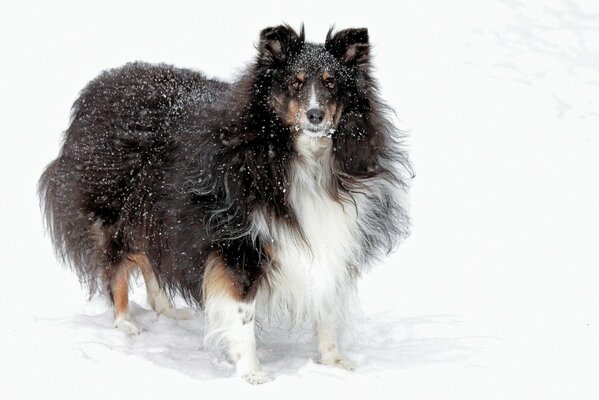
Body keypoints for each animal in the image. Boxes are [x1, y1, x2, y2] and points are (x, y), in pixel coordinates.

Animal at [37, 25, 412, 384]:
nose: (316, 115)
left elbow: (328, 306)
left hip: (154, 215)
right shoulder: (238, 244)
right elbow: (242, 314)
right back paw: (125, 323)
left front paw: (334, 362)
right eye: (295, 81)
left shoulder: (335, 233)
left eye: (332, 82)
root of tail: (100, 86)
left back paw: (168, 310)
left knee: (150, 258)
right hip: (113, 213)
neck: (299, 159)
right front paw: (252, 373)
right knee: (116, 267)